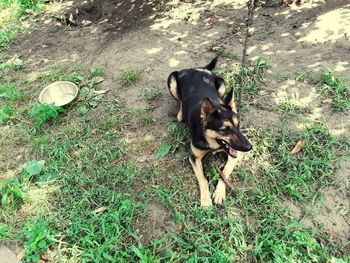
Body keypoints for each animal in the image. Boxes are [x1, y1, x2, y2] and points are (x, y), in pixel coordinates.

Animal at [167, 57, 252, 208]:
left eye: (238, 125)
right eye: (224, 130)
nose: (249, 147)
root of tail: (198, 68)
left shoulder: (233, 156)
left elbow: (224, 173)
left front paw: (219, 193)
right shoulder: (194, 158)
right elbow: (202, 179)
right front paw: (206, 199)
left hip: (222, 84)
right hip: (172, 80)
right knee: (181, 100)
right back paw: (181, 113)